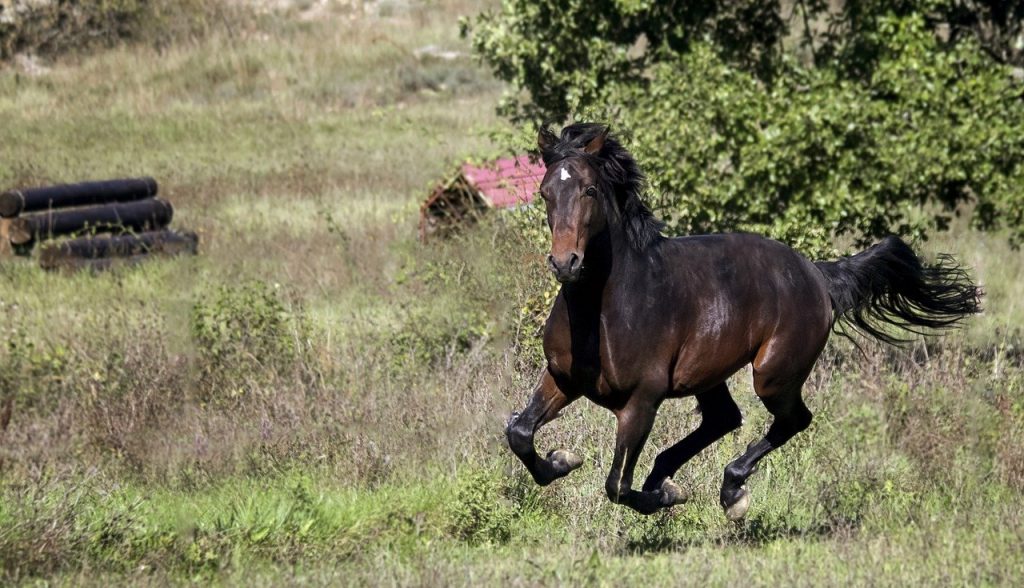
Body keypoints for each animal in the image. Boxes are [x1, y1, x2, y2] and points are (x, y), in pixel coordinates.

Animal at [507, 123, 978, 520]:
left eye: (589, 190)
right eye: (545, 192)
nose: (566, 263)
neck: (607, 307)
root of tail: (816, 274)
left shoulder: (641, 400)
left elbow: (617, 486)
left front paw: (664, 497)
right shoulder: (562, 378)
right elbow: (520, 433)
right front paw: (562, 461)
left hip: (772, 374)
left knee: (791, 420)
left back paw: (730, 492)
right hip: (710, 372)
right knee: (724, 419)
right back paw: (670, 477)